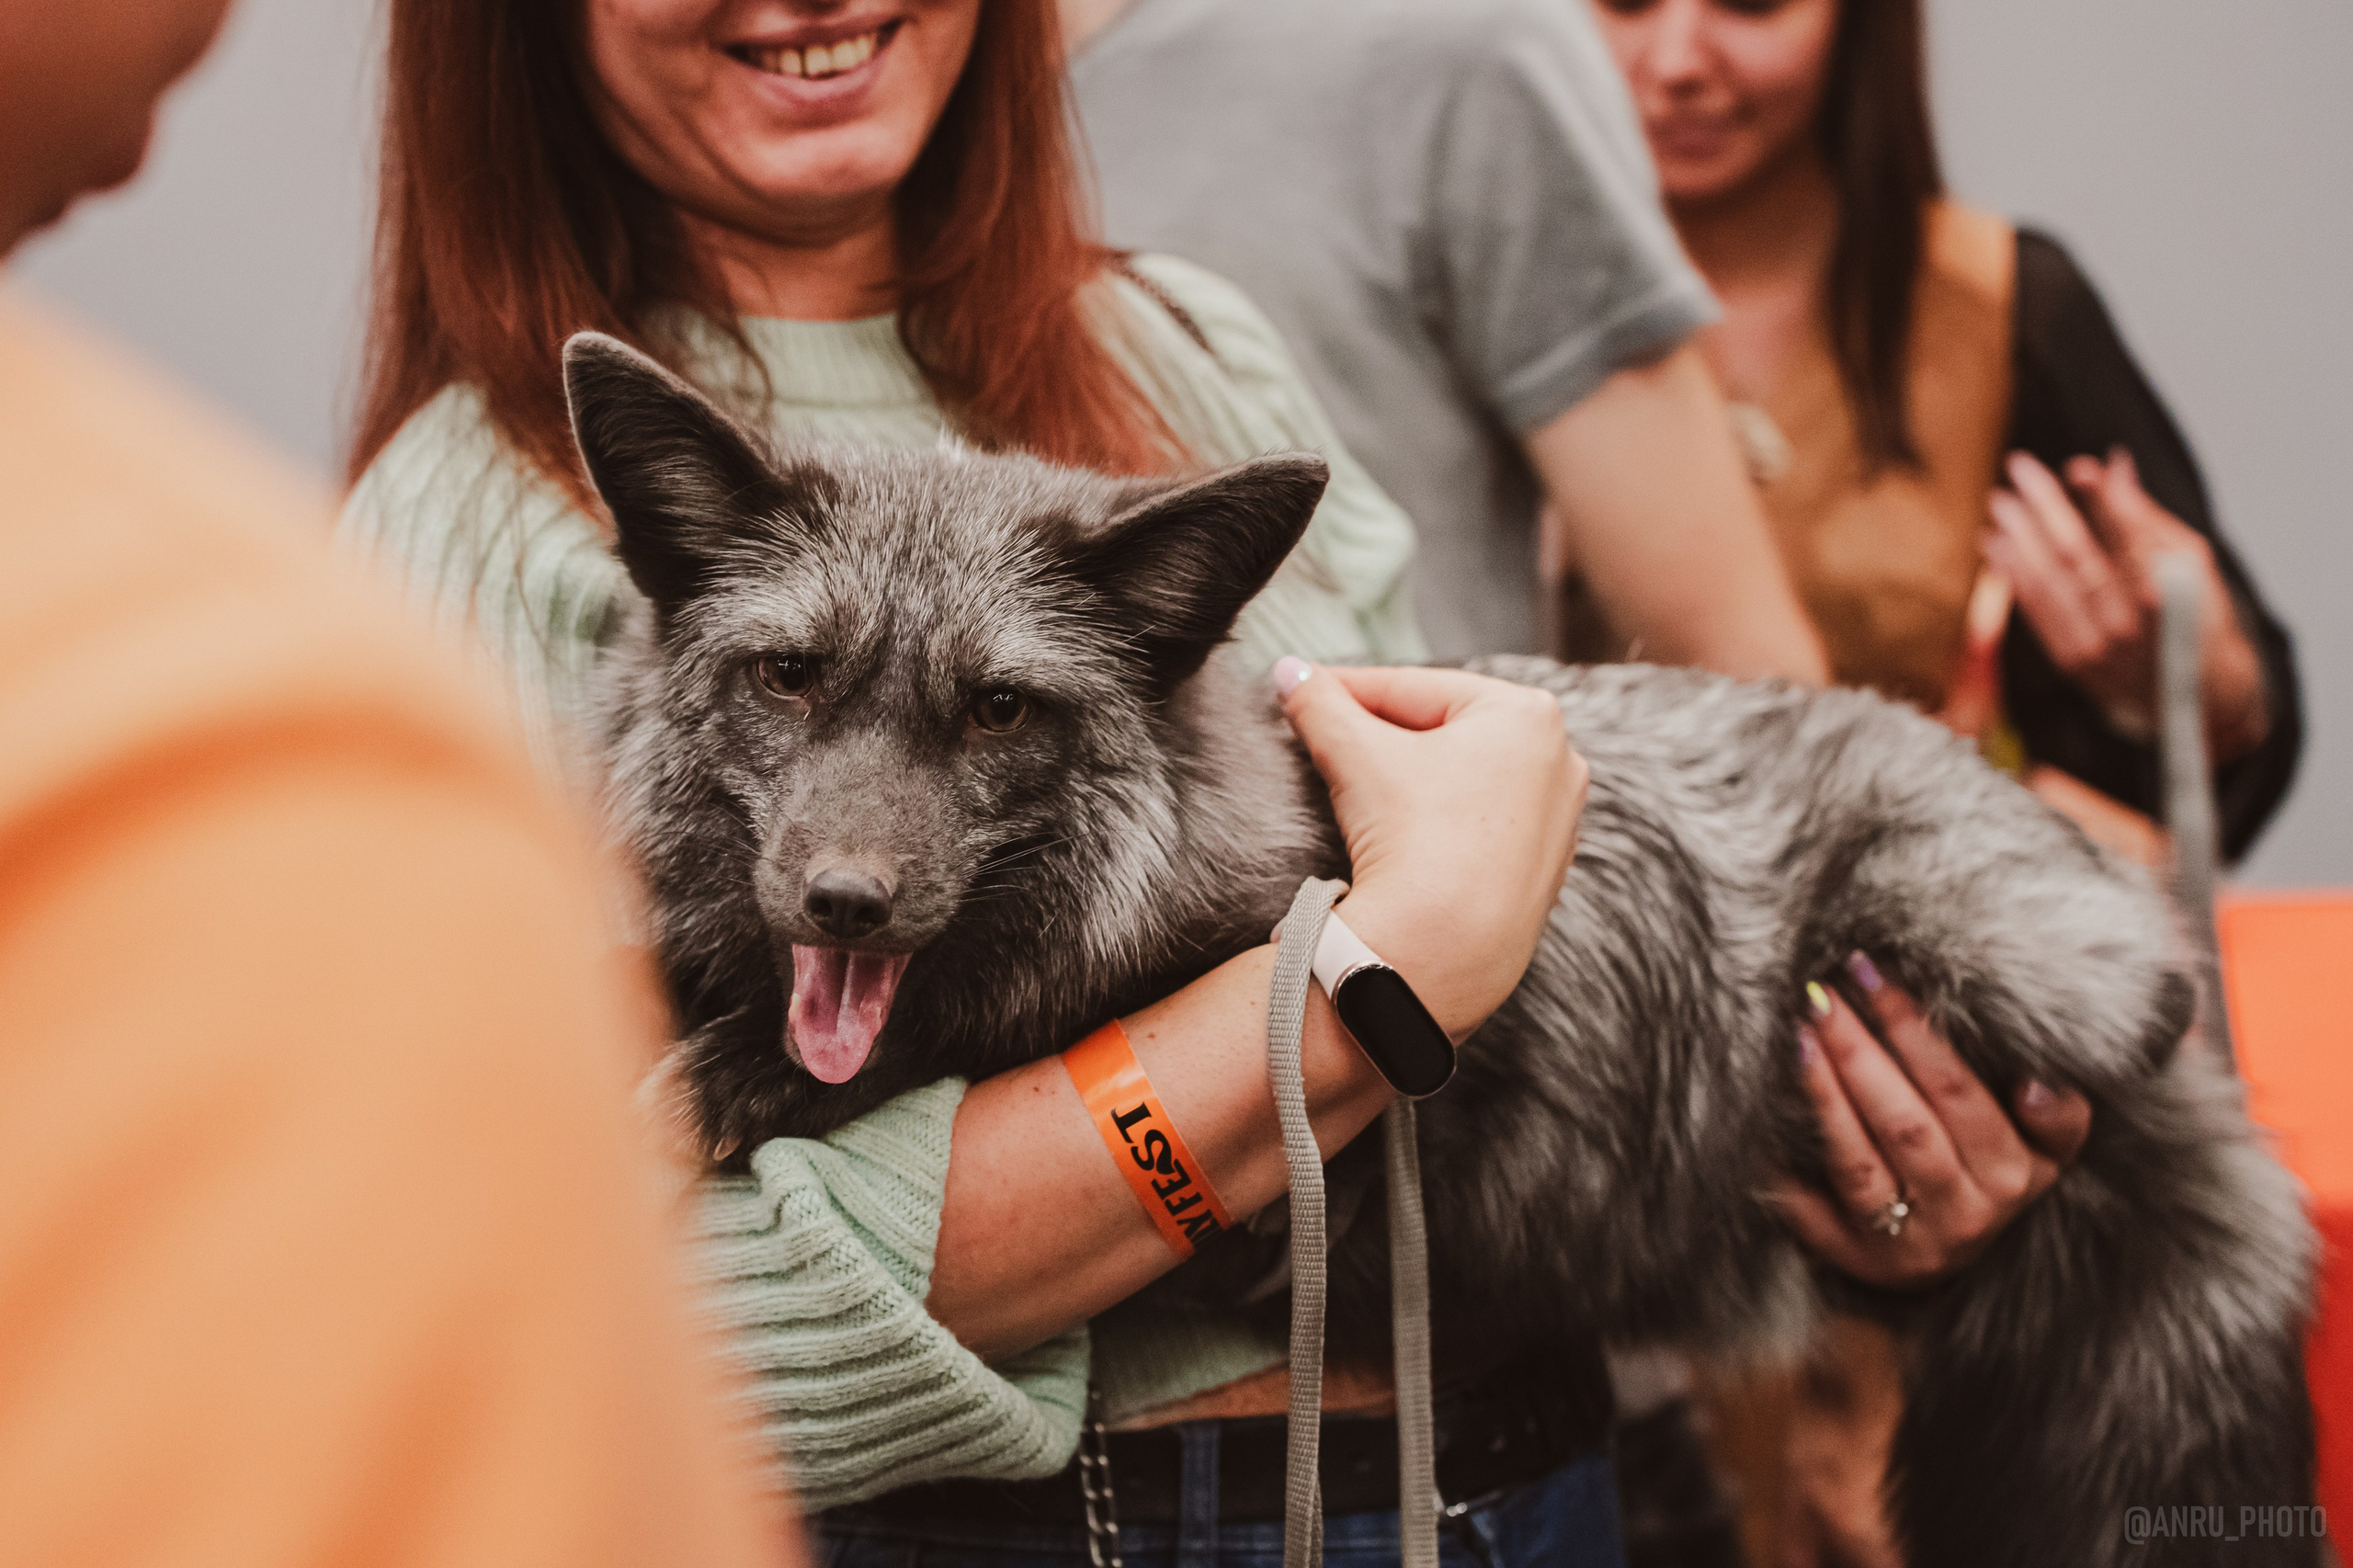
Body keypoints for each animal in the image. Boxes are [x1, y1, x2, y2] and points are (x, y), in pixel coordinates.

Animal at [565, 332, 2316, 1568]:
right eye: (789, 676)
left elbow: (969, 1027)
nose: (843, 902)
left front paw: (719, 1075)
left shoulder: (1270, 965)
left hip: (1999, 973)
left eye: (998, 708)